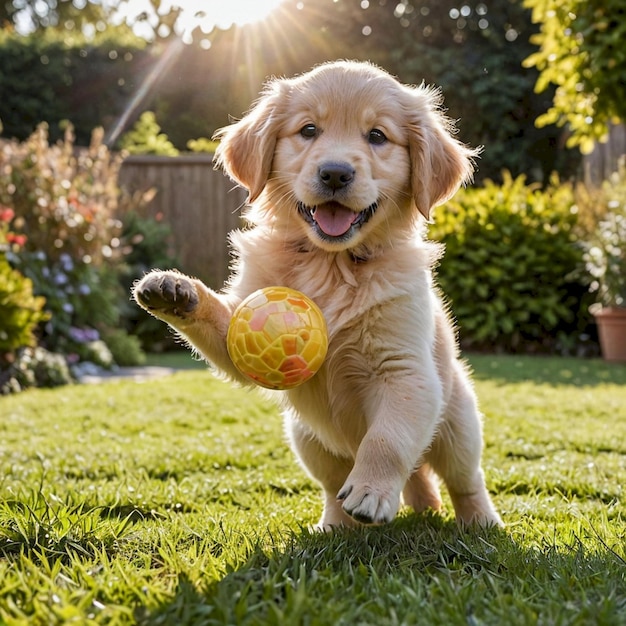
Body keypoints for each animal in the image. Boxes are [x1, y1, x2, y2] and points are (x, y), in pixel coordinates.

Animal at [134, 59, 500, 528]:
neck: (332, 262)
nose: (335, 173)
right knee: (335, 484)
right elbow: (223, 324)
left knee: (464, 478)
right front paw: (176, 291)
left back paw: (480, 521)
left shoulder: (406, 372)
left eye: (377, 136)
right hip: (307, 437)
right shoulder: (244, 321)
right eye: (308, 130)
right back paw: (335, 526)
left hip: (458, 424)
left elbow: (387, 440)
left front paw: (371, 491)